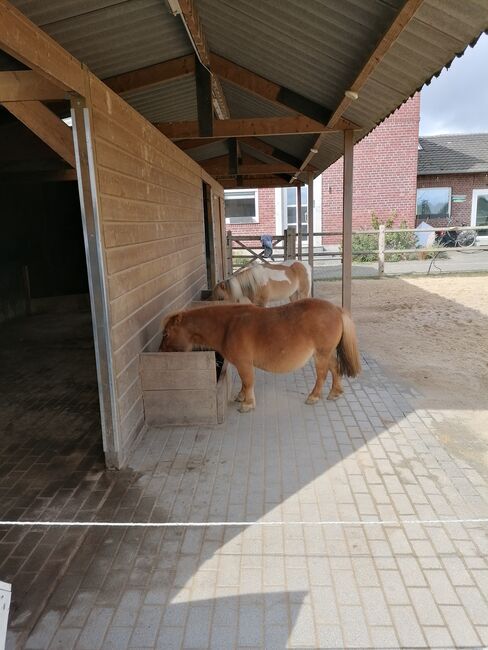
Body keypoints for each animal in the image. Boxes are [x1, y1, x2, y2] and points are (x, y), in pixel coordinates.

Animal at [160, 294, 358, 408]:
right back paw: (335, 392)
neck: (228, 326)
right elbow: (243, 382)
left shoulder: (244, 363)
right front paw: (241, 397)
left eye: (166, 333)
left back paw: (314, 396)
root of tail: (336, 309)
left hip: (321, 354)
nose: (161, 351)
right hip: (326, 353)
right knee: (335, 368)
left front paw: (247, 404)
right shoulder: (242, 364)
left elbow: (248, 382)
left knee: (323, 374)